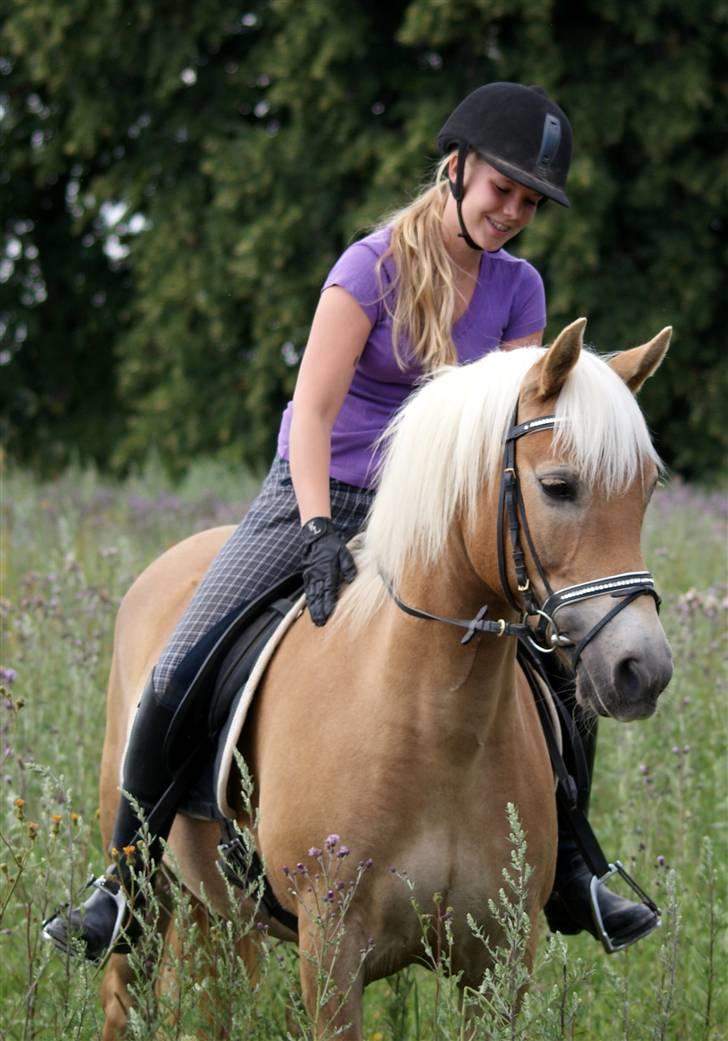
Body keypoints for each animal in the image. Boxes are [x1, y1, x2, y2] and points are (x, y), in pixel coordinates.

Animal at [95, 320, 670, 1036]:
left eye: (646, 491)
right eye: (560, 486)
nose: (642, 670)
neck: (434, 721)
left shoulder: (501, 962)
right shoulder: (332, 957)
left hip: (218, 916)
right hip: (150, 896)